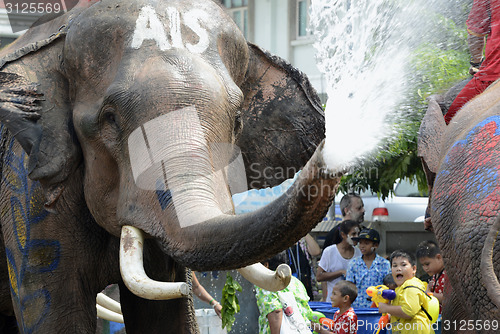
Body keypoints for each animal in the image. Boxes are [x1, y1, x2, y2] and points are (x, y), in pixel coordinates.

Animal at [0, 0, 342, 332]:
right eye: (110, 119)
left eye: (237, 121)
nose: (284, 269)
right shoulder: (26, 191)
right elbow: (51, 307)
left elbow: (164, 312)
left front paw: (179, 291)